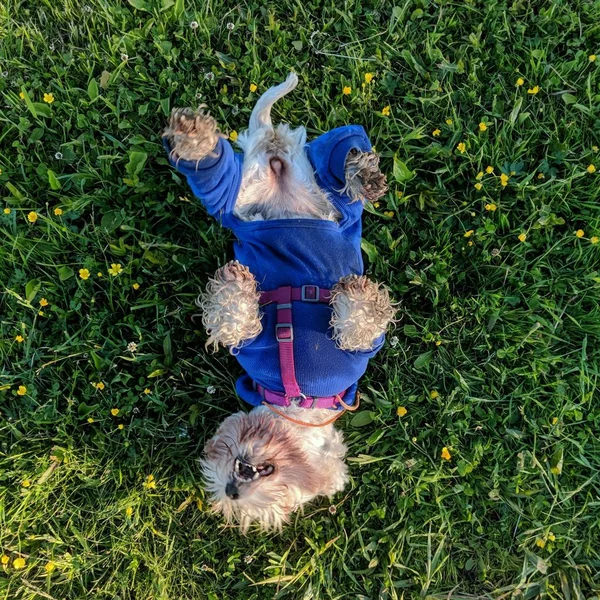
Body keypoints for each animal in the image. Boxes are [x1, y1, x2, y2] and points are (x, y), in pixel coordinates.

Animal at [163, 74, 394, 528]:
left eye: (277, 496)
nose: (232, 489)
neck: (297, 398)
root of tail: (272, 152)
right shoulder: (251, 344)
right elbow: (234, 322)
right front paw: (236, 285)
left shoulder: (363, 349)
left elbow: (360, 325)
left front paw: (355, 295)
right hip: (240, 200)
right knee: (223, 174)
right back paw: (195, 135)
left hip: (312, 198)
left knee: (339, 162)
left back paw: (362, 175)